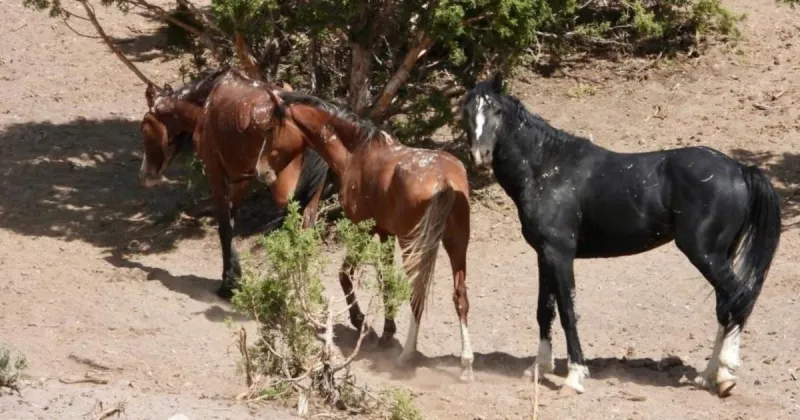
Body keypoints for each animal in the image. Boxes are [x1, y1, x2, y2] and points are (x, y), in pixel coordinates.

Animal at [138, 68, 335, 299]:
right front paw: (234, 276)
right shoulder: (242, 179)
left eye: (143, 128)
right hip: (311, 196)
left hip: (285, 193)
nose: (145, 175)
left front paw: (228, 284)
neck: (208, 105)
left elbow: (224, 227)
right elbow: (231, 223)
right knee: (306, 230)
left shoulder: (217, 175)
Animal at [258, 89, 476, 381]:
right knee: (460, 296)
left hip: (414, 246)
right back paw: (466, 364)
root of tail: (443, 179)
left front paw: (362, 323)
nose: (261, 171)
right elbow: (386, 281)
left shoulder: (362, 228)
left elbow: (345, 274)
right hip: (457, 244)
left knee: (417, 294)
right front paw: (386, 331)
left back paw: (406, 355)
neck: (357, 152)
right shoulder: (385, 234)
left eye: (270, 128)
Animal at [460, 74, 781, 397]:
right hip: (718, 255)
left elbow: (567, 311)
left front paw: (574, 376)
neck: (546, 169)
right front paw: (539, 367)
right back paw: (707, 375)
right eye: (467, 113)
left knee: (738, 297)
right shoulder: (544, 255)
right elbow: (544, 309)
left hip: (704, 253)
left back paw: (726, 375)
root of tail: (739, 170)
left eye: (496, 111)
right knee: (725, 306)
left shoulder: (560, 254)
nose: (480, 156)